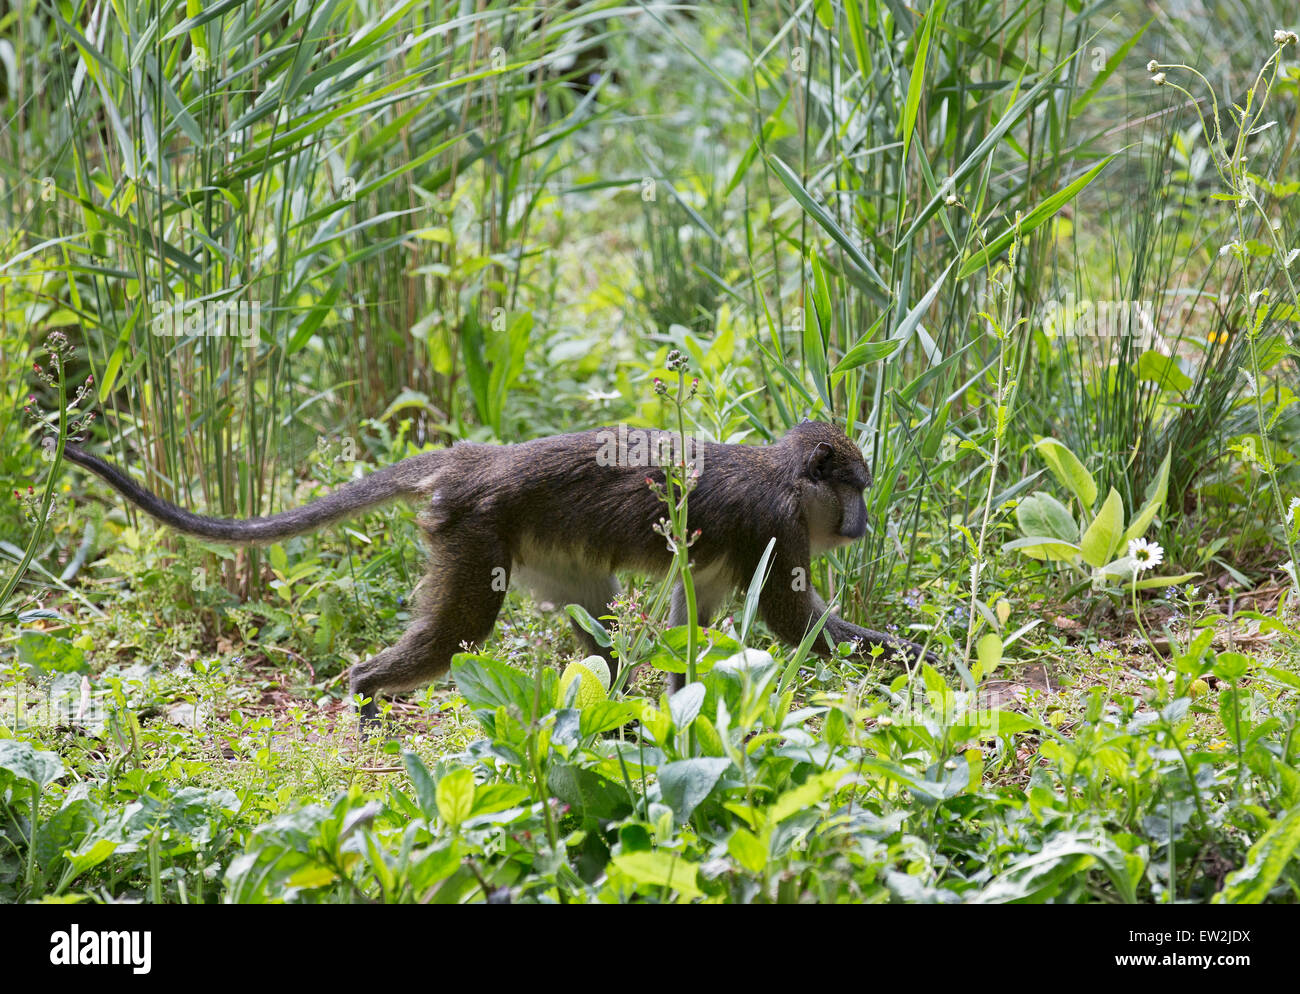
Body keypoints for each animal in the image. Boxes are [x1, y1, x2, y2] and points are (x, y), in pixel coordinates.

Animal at [62, 420, 937, 726]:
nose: (863, 521)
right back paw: (365, 693)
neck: (786, 475)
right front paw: (922, 656)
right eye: (855, 488)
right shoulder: (779, 527)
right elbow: (799, 625)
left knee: (596, 636)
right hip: (472, 531)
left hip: (538, 550)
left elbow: (693, 629)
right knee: (456, 635)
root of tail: (475, 463)